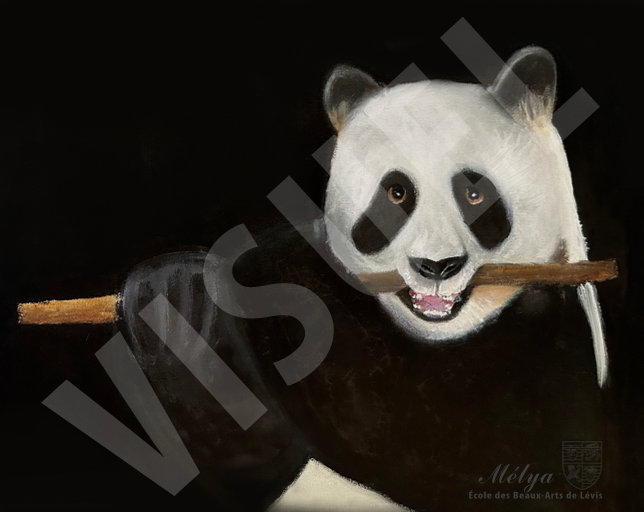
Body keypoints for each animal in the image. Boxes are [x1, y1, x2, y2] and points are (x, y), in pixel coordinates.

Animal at [116, 46, 607, 511]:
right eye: (396, 193)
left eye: (474, 193)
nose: (436, 266)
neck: (442, 337)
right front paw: (174, 302)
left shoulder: (537, 355)